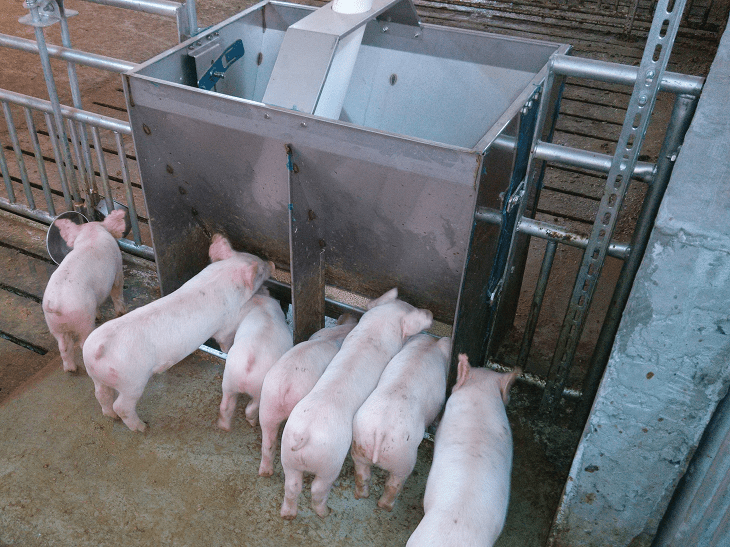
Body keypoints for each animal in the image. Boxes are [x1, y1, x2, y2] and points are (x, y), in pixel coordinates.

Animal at [42, 210, 127, 373]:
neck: (91, 234)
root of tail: (56, 305)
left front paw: (99, 316)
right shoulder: (118, 268)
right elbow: (117, 291)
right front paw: (121, 313)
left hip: (54, 326)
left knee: (64, 347)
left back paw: (71, 369)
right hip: (83, 319)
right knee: (82, 343)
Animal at [82, 234, 274, 432]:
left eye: (254, 256)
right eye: (260, 271)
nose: (272, 263)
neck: (223, 274)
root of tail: (99, 349)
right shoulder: (227, 323)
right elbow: (224, 340)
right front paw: (227, 351)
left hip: (96, 374)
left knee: (101, 395)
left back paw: (111, 417)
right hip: (131, 381)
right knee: (122, 406)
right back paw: (143, 427)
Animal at [217, 288, 293, 431]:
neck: (261, 304)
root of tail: (249, 364)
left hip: (229, 380)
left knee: (225, 405)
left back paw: (224, 427)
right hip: (259, 388)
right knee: (252, 406)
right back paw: (252, 422)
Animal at [279, 288, 433, 519]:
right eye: (411, 309)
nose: (431, 313)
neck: (375, 330)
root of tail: (303, 435)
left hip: (288, 455)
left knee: (291, 486)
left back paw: (287, 514)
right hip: (330, 461)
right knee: (318, 487)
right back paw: (326, 512)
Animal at [350, 333, 451, 511]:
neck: (426, 347)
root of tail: (380, 431)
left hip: (359, 446)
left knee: (362, 474)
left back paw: (361, 495)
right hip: (404, 459)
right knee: (394, 484)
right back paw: (386, 507)